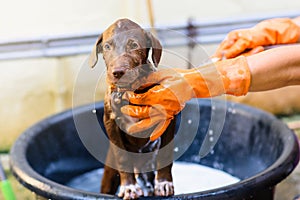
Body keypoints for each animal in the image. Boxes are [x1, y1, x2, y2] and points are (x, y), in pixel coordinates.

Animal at [89, 18, 176, 198]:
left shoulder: (169, 119)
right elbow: (123, 157)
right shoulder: (111, 123)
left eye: (134, 45)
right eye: (107, 47)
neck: (130, 91)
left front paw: (164, 182)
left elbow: (165, 154)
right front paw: (129, 187)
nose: (117, 72)